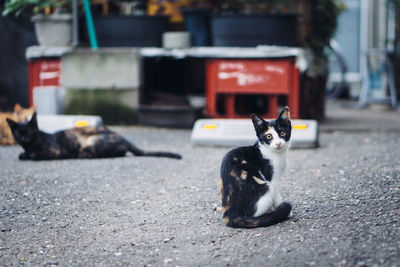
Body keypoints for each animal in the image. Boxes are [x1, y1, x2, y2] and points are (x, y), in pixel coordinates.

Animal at [6, 111, 181, 160]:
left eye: (30, 132)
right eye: (18, 133)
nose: (24, 139)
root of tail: (124, 138)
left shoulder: (54, 151)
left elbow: (35, 155)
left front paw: (29, 155)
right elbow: (23, 154)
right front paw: (24, 154)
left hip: (93, 139)